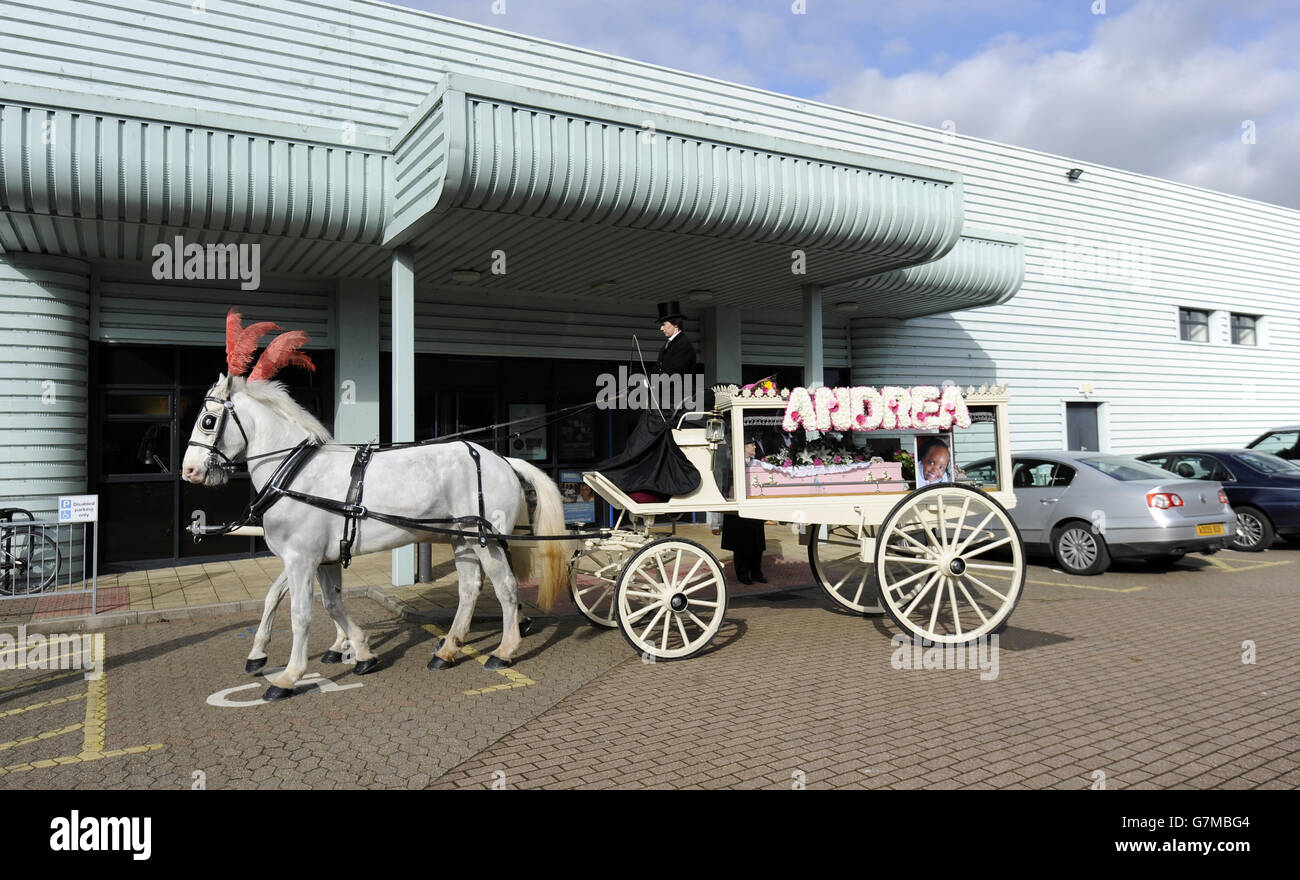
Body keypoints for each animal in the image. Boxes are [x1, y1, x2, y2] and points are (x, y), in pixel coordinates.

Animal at [180, 366, 572, 696]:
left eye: (208, 420)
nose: (189, 471)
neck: (297, 476)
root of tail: (501, 459)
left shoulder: (301, 559)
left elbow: (301, 614)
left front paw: (289, 676)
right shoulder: (321, 559)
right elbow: (327, 603)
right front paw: (360, 651)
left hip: (485, 542)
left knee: (506, 588)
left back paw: (504, 651)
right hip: (464, 540)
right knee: (469, 590)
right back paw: (446, 650)